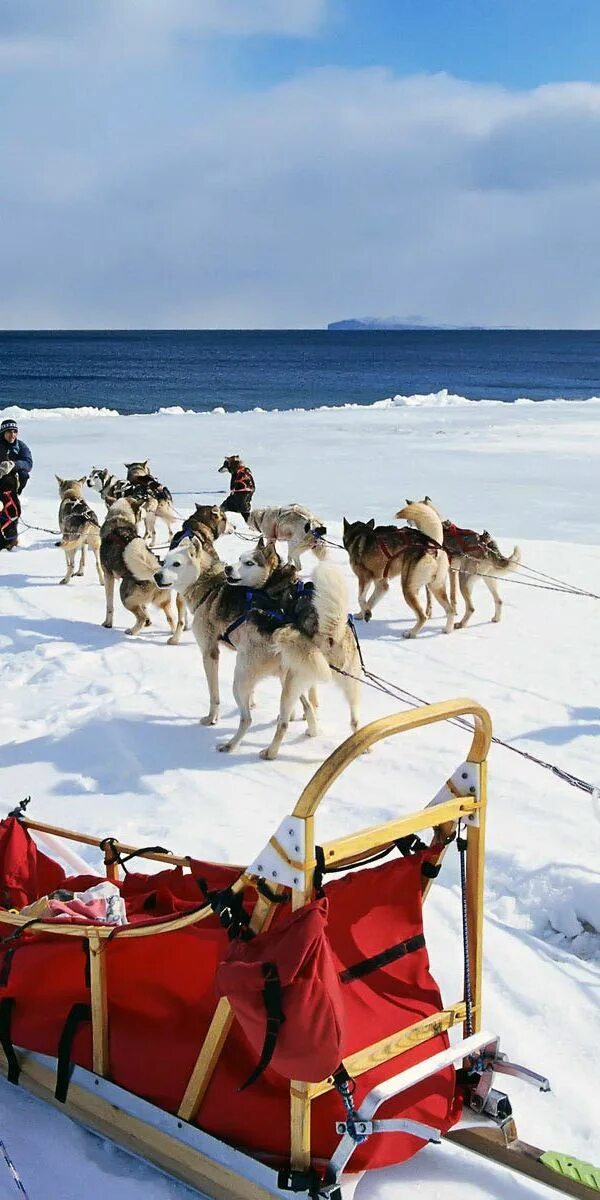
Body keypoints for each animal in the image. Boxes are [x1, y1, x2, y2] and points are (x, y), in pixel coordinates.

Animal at [99, 494, 178, 638]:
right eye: (141, 509)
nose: (148, 511)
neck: (120, 518)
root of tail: (154, 571)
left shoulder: (108, 576)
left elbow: (109, 605)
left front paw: (107, 624)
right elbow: (145, 609)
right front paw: (149, 622)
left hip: (125, 597)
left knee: (141, 617)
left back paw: (132, 631)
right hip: (164, 602)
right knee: (170, 618)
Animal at [408, 496, 520, 628]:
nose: (408, 522)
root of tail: (486, 542)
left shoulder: (446, 572)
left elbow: (431, 598)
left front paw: (430, 614)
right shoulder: (451, 571)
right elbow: (452, 596)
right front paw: (452, 612)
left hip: (464, 579)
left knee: (471, 608)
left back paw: (461, 624)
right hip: (487, 579)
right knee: (499, 601)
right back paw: (496, 618)